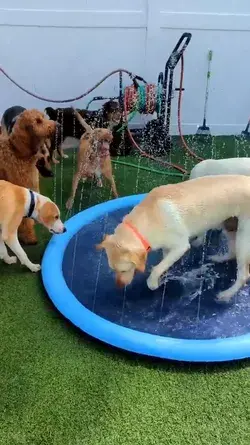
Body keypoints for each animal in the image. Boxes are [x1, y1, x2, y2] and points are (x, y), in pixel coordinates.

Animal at [97, 175, 250, 304]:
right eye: (113, 270)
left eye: (123, 270)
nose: (119, 286)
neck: (149, 217)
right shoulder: (167, 247)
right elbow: (164, 264)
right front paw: (162, 277)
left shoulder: (181, 246)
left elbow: (158, 268)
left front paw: (152, 283)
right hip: (230, 225)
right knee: (232, 252)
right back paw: (219, 258)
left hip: (243, 238)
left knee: (243, 275)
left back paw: (226, 294)